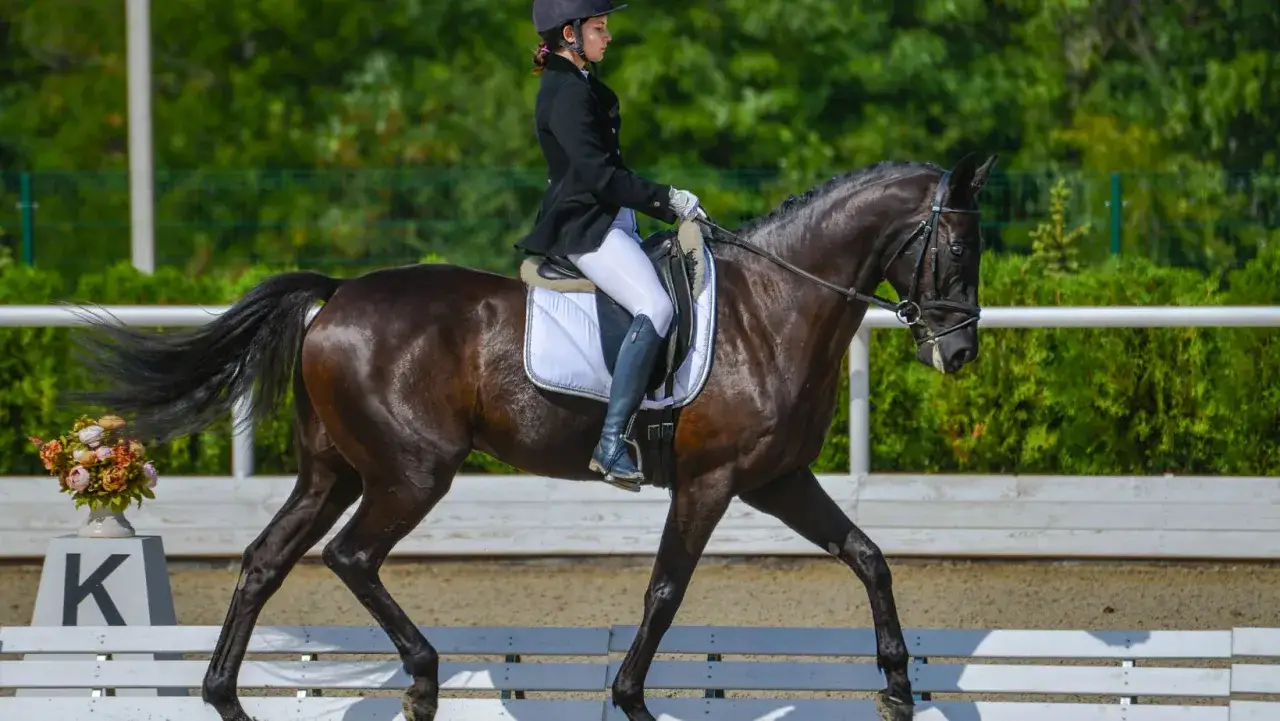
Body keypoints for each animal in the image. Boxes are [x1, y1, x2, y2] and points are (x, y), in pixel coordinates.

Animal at [68, 152, 998, 721]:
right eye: (958, 247)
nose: (957, 352)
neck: (773, 307)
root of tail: (336, 297)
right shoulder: (711, 481)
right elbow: (665, 591)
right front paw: (631, 698)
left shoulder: (776, 479)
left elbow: (868, 555)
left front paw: (899, 685)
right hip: (411, 471)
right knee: (351, 556)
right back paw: (422, 679)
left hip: (333, 470)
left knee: (267, 559)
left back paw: (227, 696)